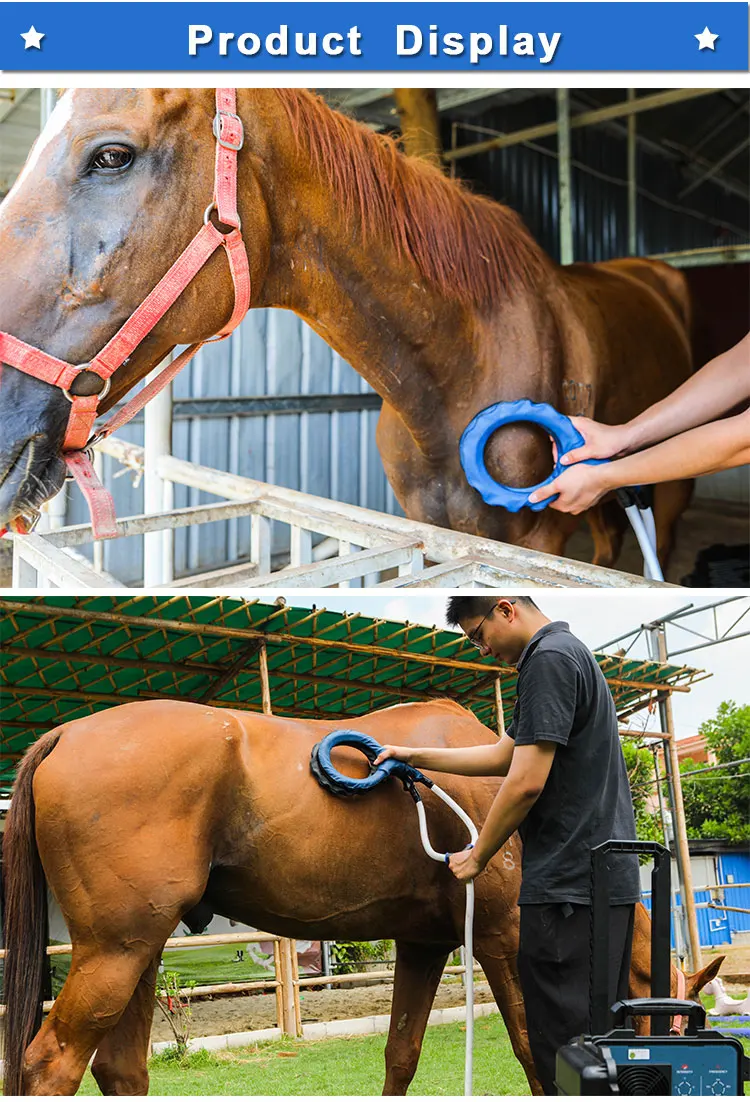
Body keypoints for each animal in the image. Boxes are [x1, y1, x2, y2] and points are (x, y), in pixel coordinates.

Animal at [2, 698, 721, 1096]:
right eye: (673, 1027)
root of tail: (67, 734)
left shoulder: (425, 946)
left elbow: (402, 1054)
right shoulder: (503, 940)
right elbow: (533, 1053)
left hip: (140, 951)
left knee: (121, 1070)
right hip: (115, 952)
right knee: (50, 1064)